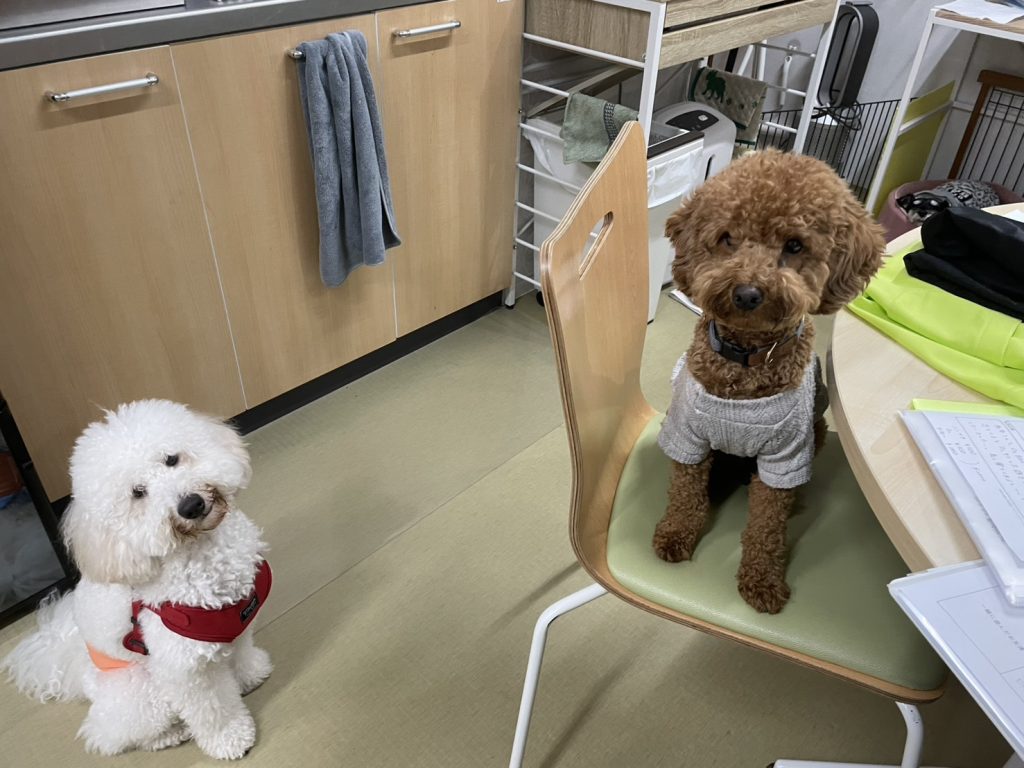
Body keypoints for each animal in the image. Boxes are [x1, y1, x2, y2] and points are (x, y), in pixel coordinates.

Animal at [2, 400, 272, 759]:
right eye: (138, 493)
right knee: (111, 736)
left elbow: (241, 651)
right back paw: (169, 735)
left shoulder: (235, 622)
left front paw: (250, 674)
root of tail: (81, 671)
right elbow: (211, 707)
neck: (201, 551)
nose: (191, 505)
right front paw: (230, 738)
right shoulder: (181, 667)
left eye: (171, 459)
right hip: (143, 695)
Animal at [653, 150, 884, 614]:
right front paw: (674, 536)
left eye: (794, 246)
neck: (745, 363)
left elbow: (766, 527)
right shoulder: (688, 435)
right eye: (727, 238)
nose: (746, 294)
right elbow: (685, 495)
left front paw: (762, 581)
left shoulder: (783, 456)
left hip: (816, 434)